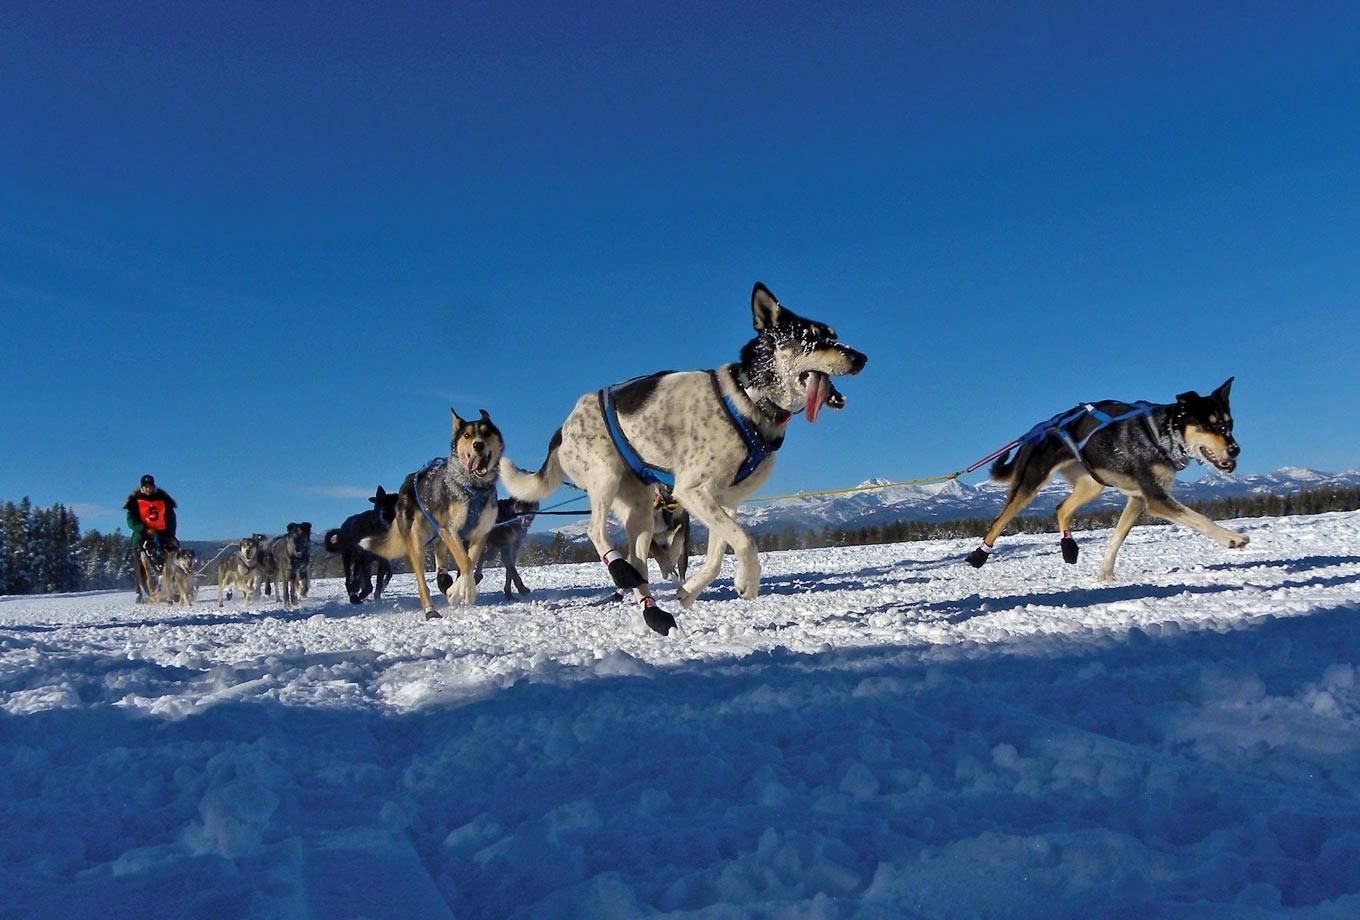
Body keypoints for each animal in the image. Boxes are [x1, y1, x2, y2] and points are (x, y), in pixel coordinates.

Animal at [497, 284, 859, 636]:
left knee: (639, 563)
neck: (748, 400)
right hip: (605, 476)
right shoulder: (693, 491)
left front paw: (690, 590)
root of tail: (563, 427)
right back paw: (620, 571)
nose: (862, 357)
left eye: (833, 334)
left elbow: (718, 554)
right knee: (595, 530)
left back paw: (654, 613)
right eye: (811, 337)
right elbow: (744, 541)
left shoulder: (724, 502)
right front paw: (748, 581)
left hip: (640, 513)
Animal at [968, 378, 1251, 579]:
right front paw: (1232, 538)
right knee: (998, 521)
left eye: (1229, 424)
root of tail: (1036, 430)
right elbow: (1201, 519)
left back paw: (1069, 548)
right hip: (1029, 484)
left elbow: (1116, 538)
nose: (1235, 449)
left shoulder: (1138, 499)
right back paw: (979, 555)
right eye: (1209, 425)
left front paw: (1105, 573)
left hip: (1092, 484)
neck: (1161, 434)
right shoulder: (1155, 498)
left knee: (1061, 508)